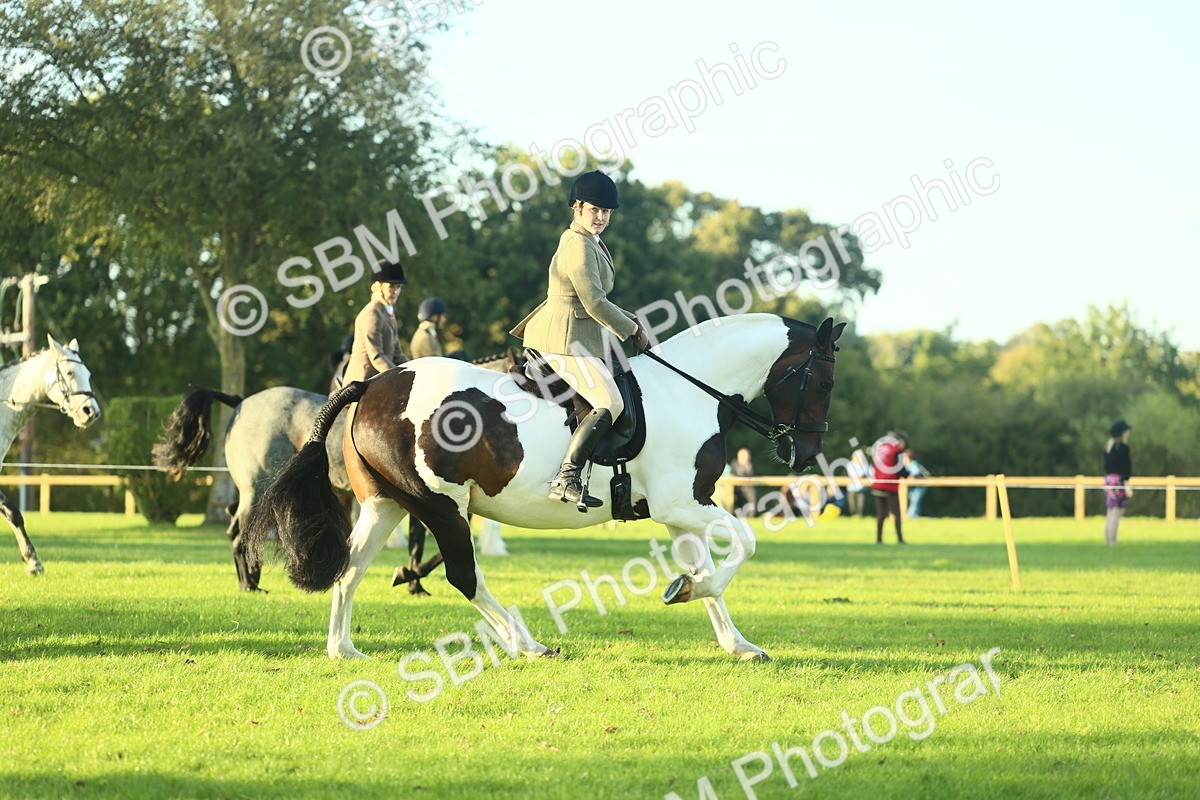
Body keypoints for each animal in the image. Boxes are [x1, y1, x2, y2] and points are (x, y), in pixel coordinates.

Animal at [1, 336, 102, 574]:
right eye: (69, 373)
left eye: (88, 375)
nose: (91, 412)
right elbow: (13, 512)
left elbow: (13, 513)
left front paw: (33, 562)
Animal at [153, 354, 514, 592]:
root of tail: (242, 401)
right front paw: (409, 578)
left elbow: (424, 545)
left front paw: (412, 581)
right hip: (256, 487)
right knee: (238, 531)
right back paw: (248, 584)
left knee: (238, 525)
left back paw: (253, 579)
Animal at [246, 314, 844, 662]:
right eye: (824, 380)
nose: (806, 452)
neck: (688, 390)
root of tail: (372, 384)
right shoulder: (684, 502)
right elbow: (745, 542)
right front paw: (688, 591)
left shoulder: (680, 510)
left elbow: (707, 570)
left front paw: (733, 639)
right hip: (441, 505)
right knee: (464, 575)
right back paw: (526, 643)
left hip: (387, 504)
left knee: (350, 571)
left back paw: (343, 650)